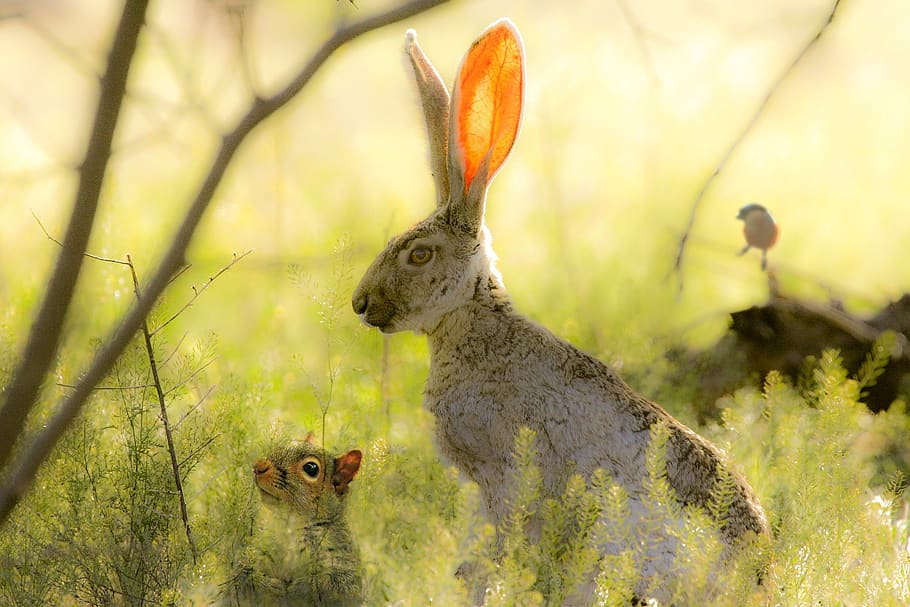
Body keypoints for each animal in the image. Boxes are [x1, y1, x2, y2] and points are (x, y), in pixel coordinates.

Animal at [223, 436, 364, 607]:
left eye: (311, 468)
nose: (259, 466)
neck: (290, 524)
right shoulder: (256, 549)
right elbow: (242, 576)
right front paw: (269, 587)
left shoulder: (341, 560)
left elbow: (332, 586)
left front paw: (299, 589)